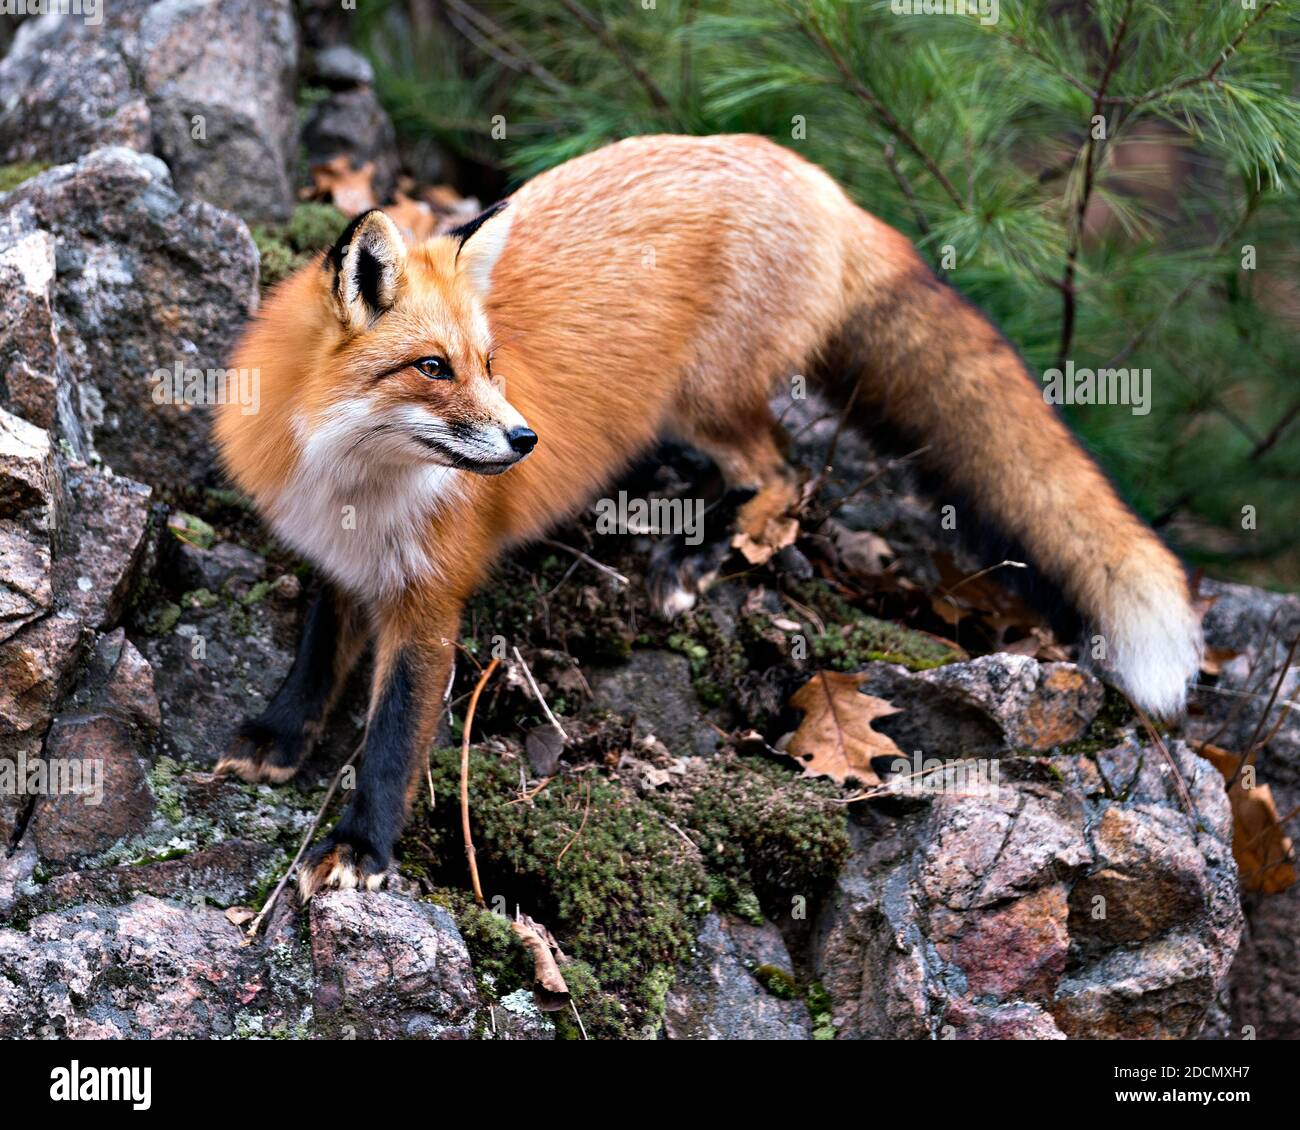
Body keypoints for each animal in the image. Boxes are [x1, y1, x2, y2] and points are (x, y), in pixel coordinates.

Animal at [214, 134, 1203, 899]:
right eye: (431, 367)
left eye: (490, 364)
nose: (526, 438)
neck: (356, 486)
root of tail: (804, 170)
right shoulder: (339, 560)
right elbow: (315, 658)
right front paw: (279, 738)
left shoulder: (430, 600)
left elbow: (391, 738)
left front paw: (361, 848)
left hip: (707, 401)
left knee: (783, 472)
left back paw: (697, 551)